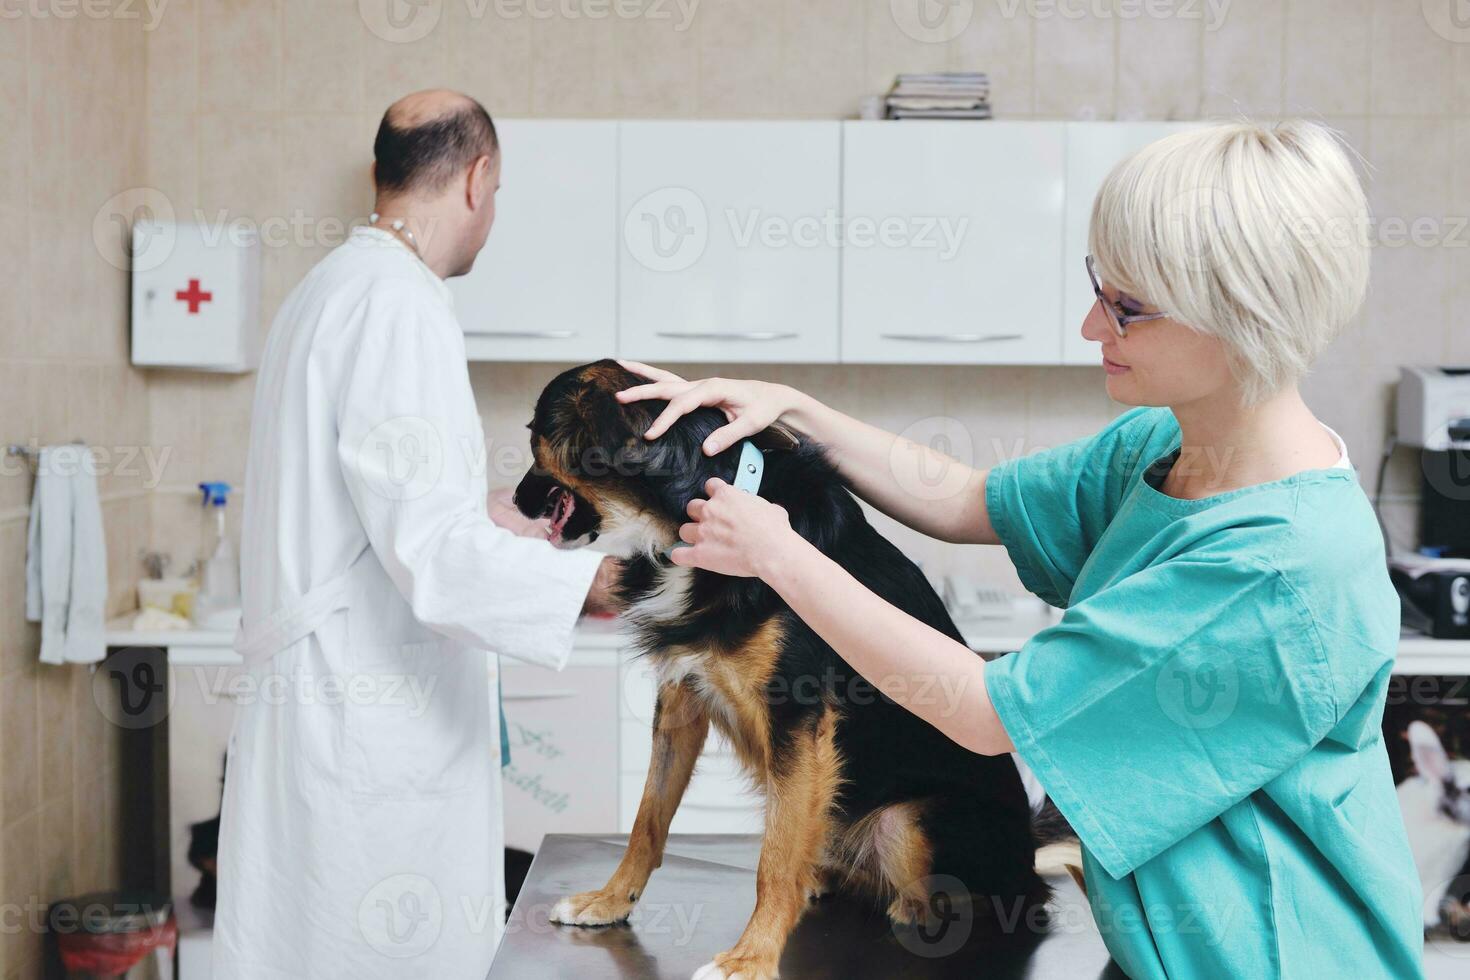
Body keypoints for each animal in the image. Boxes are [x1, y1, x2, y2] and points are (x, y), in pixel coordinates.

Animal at [517, 362, 1058, 980]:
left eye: (533, 436)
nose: (512, 500)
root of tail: (1029, 853)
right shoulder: (681, 696)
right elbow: (647, 819)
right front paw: (610, 901)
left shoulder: (797, 716)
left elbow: (773, 860)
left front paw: (751, 956)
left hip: (908, 823)